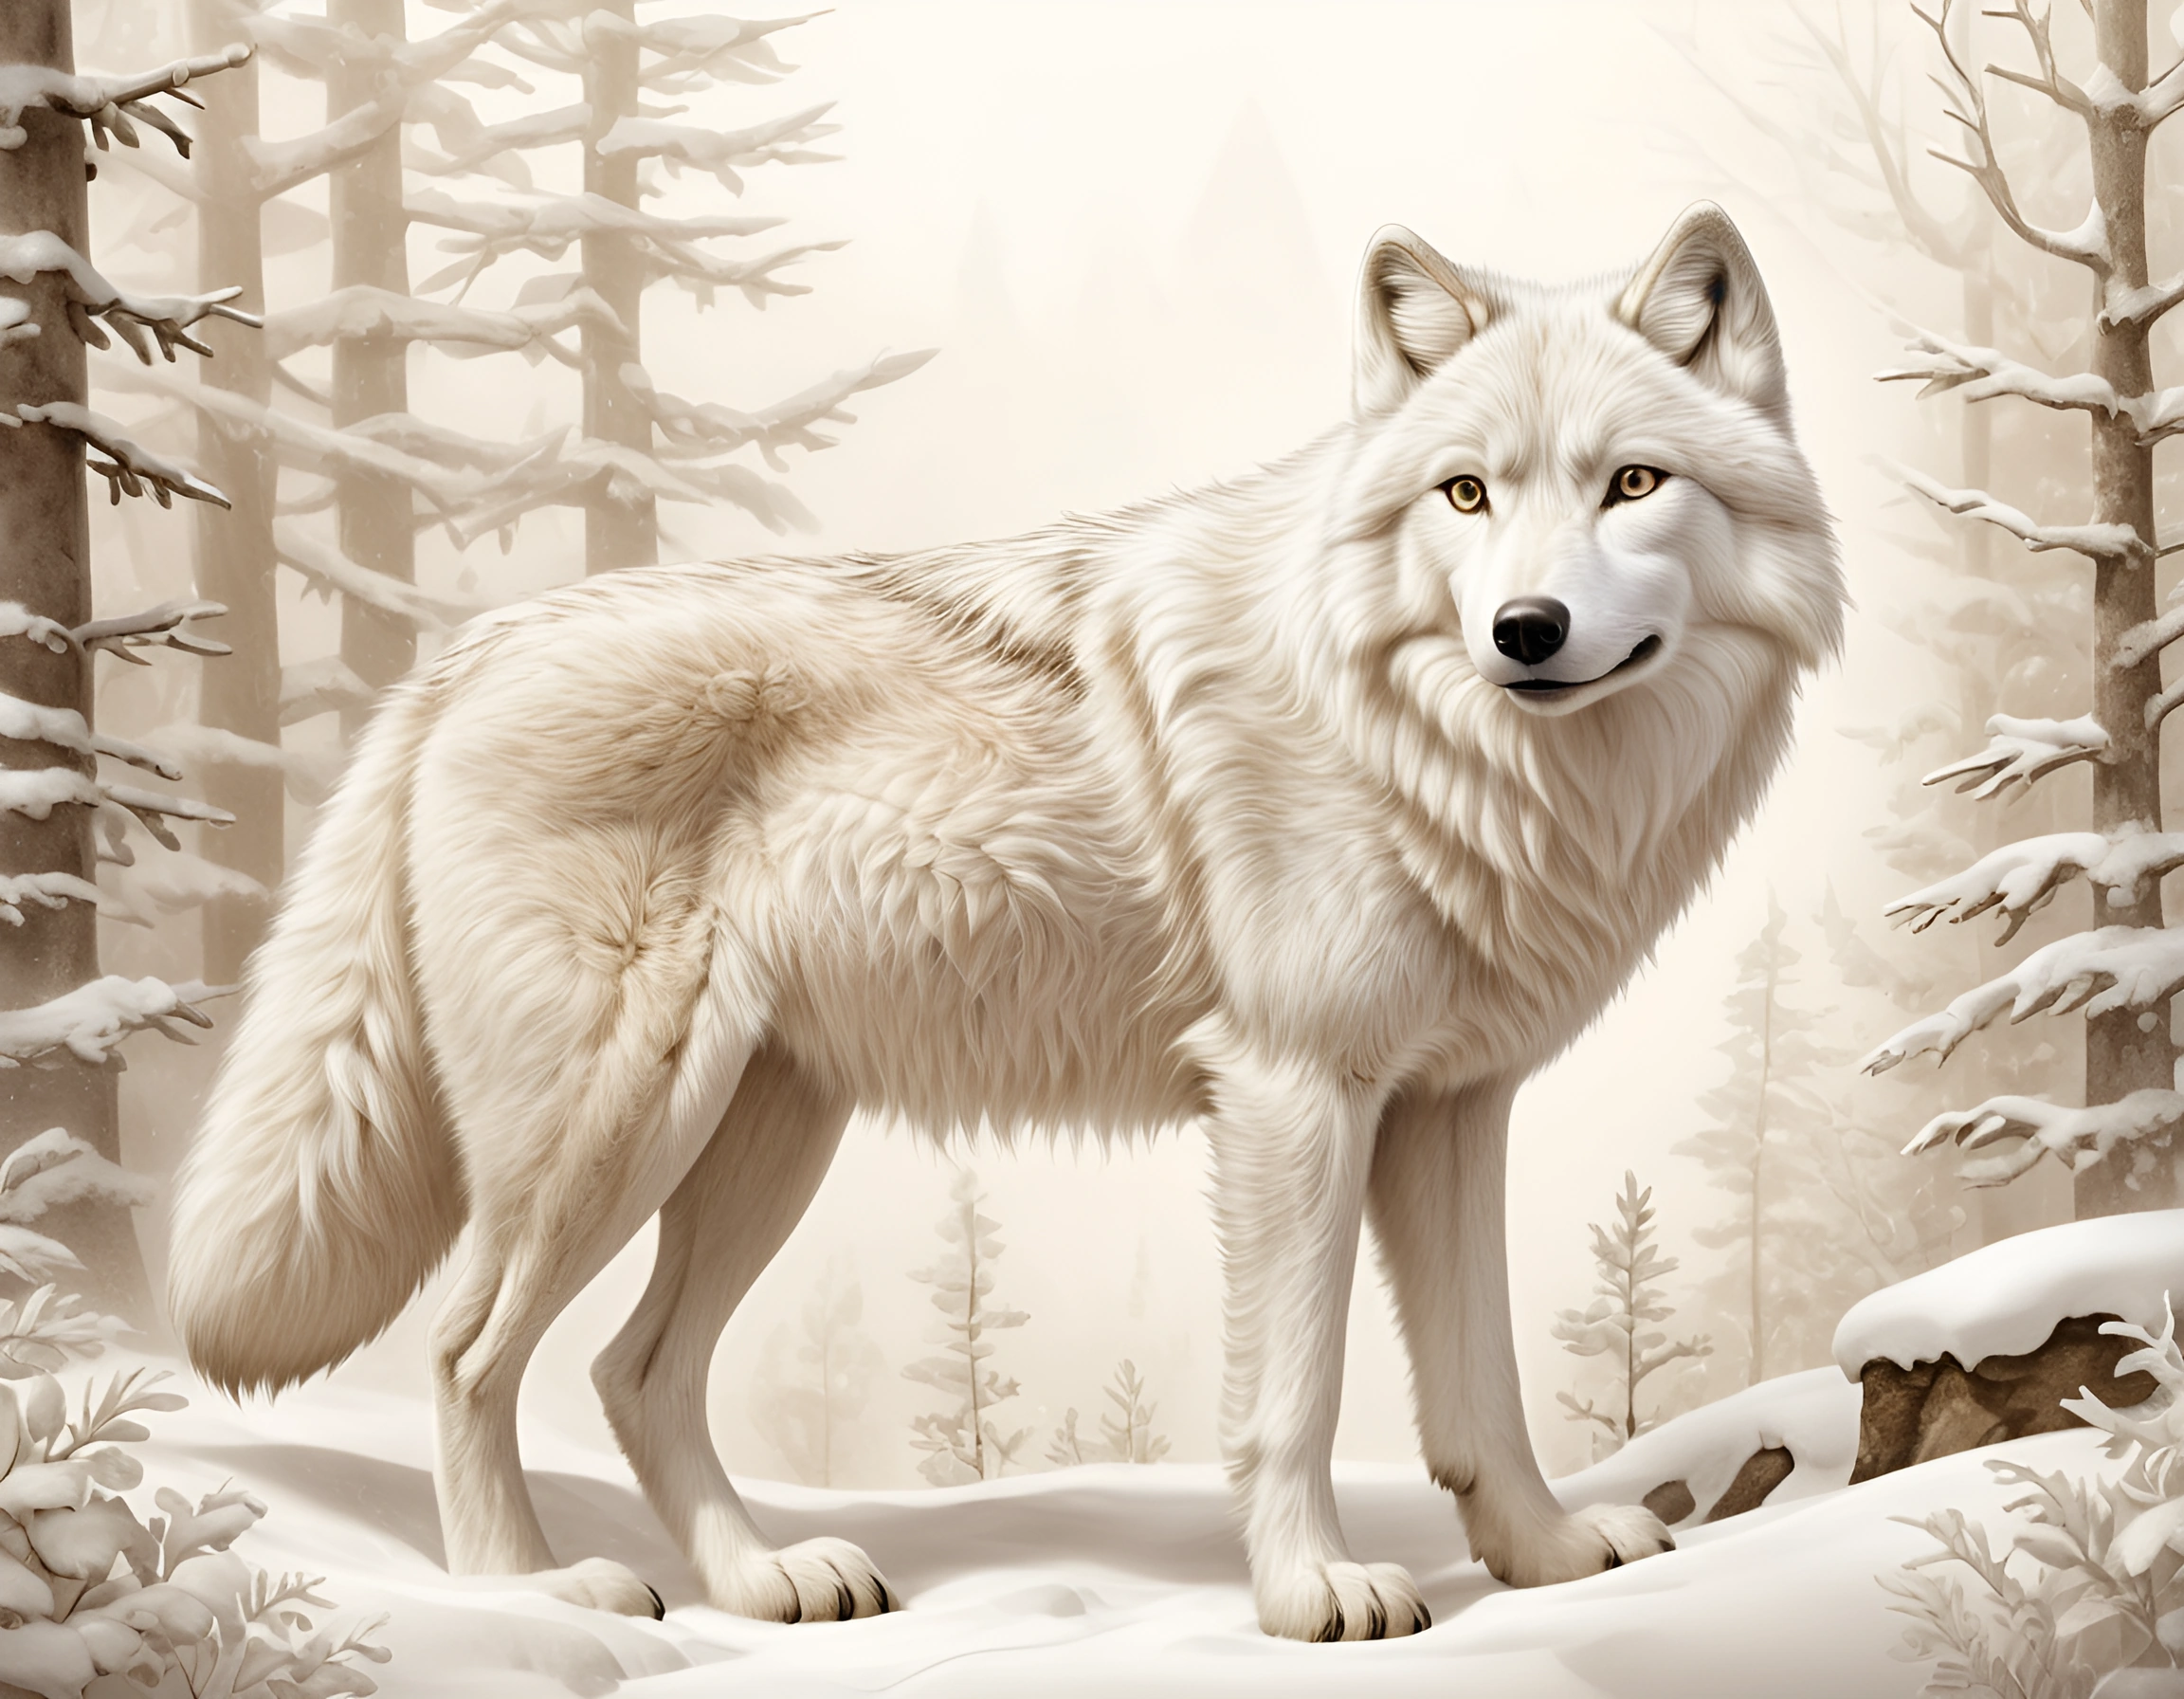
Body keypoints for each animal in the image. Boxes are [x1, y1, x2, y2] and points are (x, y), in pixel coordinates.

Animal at [167, 202, 1841, 1642]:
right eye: (1468, 493)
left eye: (1633, 484)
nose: (1526, 633)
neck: (1454, 760)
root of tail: (465, 655)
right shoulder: (1294, 1095)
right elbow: (1294, 1392)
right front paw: (1314, 1594)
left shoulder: (1447, 1106)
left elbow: (1479, 1381)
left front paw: (1542, 1558)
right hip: (609, 1128)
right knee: (466, 1353)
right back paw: (532, 1600)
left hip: (759, 1139)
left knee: (634, 1370)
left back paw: (765, 1581)